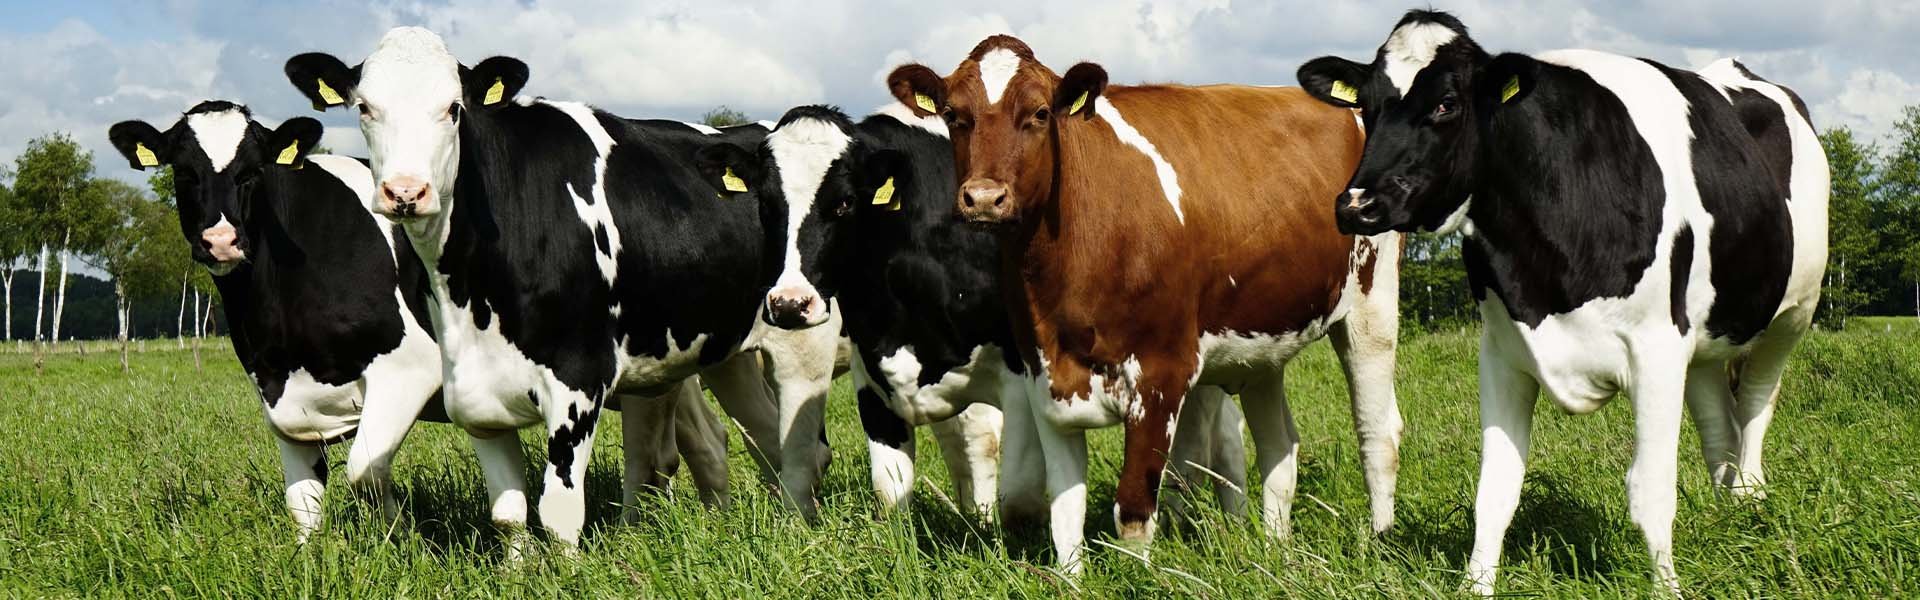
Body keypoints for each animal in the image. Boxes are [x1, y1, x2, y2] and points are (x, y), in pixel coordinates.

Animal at [282, 27, 843, 552]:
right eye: (364, 108)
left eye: (454, 108)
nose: (405, 192)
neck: (473, 292)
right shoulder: (477, 397)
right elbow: (507, 514)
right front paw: (517, 571)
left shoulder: (578, 382)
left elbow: (558, 514)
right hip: (726, 352)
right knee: (764, 439)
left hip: (804, 339)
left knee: (803, 451)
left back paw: (800, 532)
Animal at [695, 103, 1251, 521]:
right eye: (766, 205)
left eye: (845, 203)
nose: (789, 304)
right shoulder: (872, 371)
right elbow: (891, 492)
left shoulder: (1021, 375)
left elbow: (1018, 491)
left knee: (1214, 430)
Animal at [885, 36, 1406, 571]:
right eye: (953, 114)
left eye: (1040, 113)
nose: (985, 198)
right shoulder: (1043, 377)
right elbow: (1064, 511)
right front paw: (1071, 578)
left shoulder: (1161, 376)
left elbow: (1134, 510)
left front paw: (1138, 575)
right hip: (1261, 344)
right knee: (1279, 447)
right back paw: (1274, 550)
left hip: (1372, 306)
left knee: (1378, 432)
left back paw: (1379, 541)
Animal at [1295, 9, 1828, 595]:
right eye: (1367, 104)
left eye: (1446, 103)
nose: (1357, 205)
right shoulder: (1502, 351)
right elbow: (1495, 490)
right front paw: (1475, 586)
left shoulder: (1657, 348)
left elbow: (1651, 488)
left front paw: (1666, 588)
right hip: (1706, 334)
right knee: (1717, 418)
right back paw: (1723, 511)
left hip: (1792, 313)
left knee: (1754, 403)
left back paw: (1751, 503)